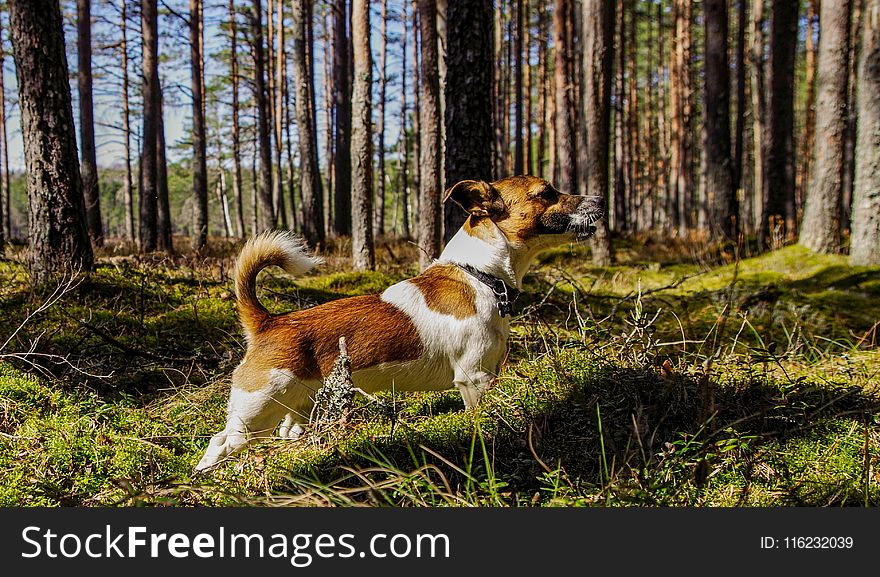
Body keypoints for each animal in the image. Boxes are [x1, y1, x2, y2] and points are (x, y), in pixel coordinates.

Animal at [195, 177, 600, 472]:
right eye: (547, 193)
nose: (599, 199)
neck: (480, 276)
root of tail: (269, 322)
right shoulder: (474, 379)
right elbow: (479, 419)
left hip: (293, 409)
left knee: (285, 431)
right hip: (256, 412)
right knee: (219, 442)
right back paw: (204, 477)